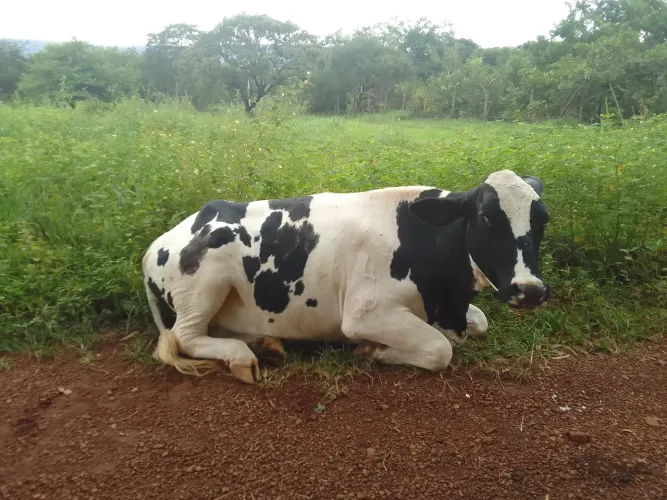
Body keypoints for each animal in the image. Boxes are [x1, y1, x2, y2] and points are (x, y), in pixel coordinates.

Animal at [142, 169, 550, 384]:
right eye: (485, 218)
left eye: (543, 220)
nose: (529, 290)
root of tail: (156, 244)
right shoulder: (363, 314)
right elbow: (440, 349)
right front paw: (375, 350)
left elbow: (480, 322)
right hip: (205, 283)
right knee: (184, 337)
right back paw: (242, 357)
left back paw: (266, 343)